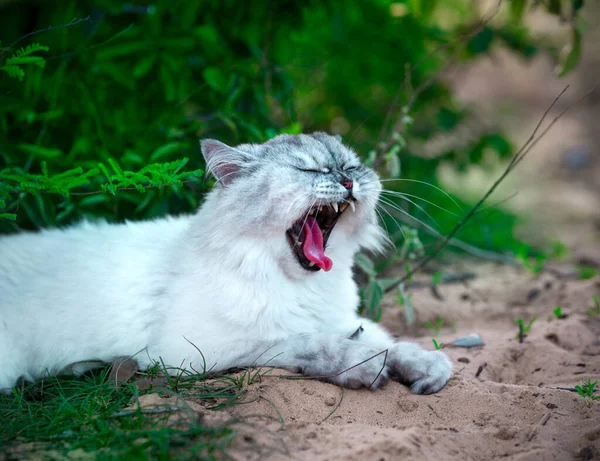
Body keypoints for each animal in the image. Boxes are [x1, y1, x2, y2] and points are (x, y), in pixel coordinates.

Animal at [0, 132, 450, 392]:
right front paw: (363, 367)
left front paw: (425, 366)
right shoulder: (202, 351)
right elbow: (311, 343)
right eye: (308, 169)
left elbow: (388, 341)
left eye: (351, 166)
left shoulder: (344, 319)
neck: (297, 283)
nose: (347, 180)